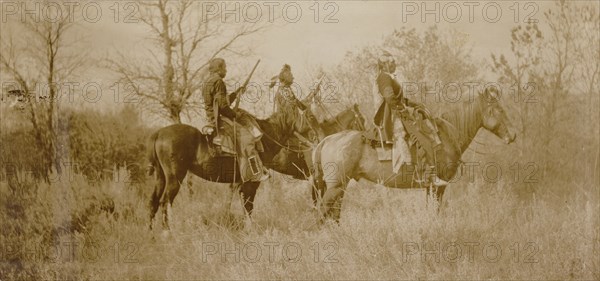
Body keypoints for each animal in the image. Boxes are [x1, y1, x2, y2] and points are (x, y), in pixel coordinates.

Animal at [314, 87, 516, 221]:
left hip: (340, 187)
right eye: (499, 110)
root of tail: (327, 140)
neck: (447, 135)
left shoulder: (430, 187)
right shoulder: (438, 185)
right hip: (336, 187)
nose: (513, 135)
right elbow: (435, 211)